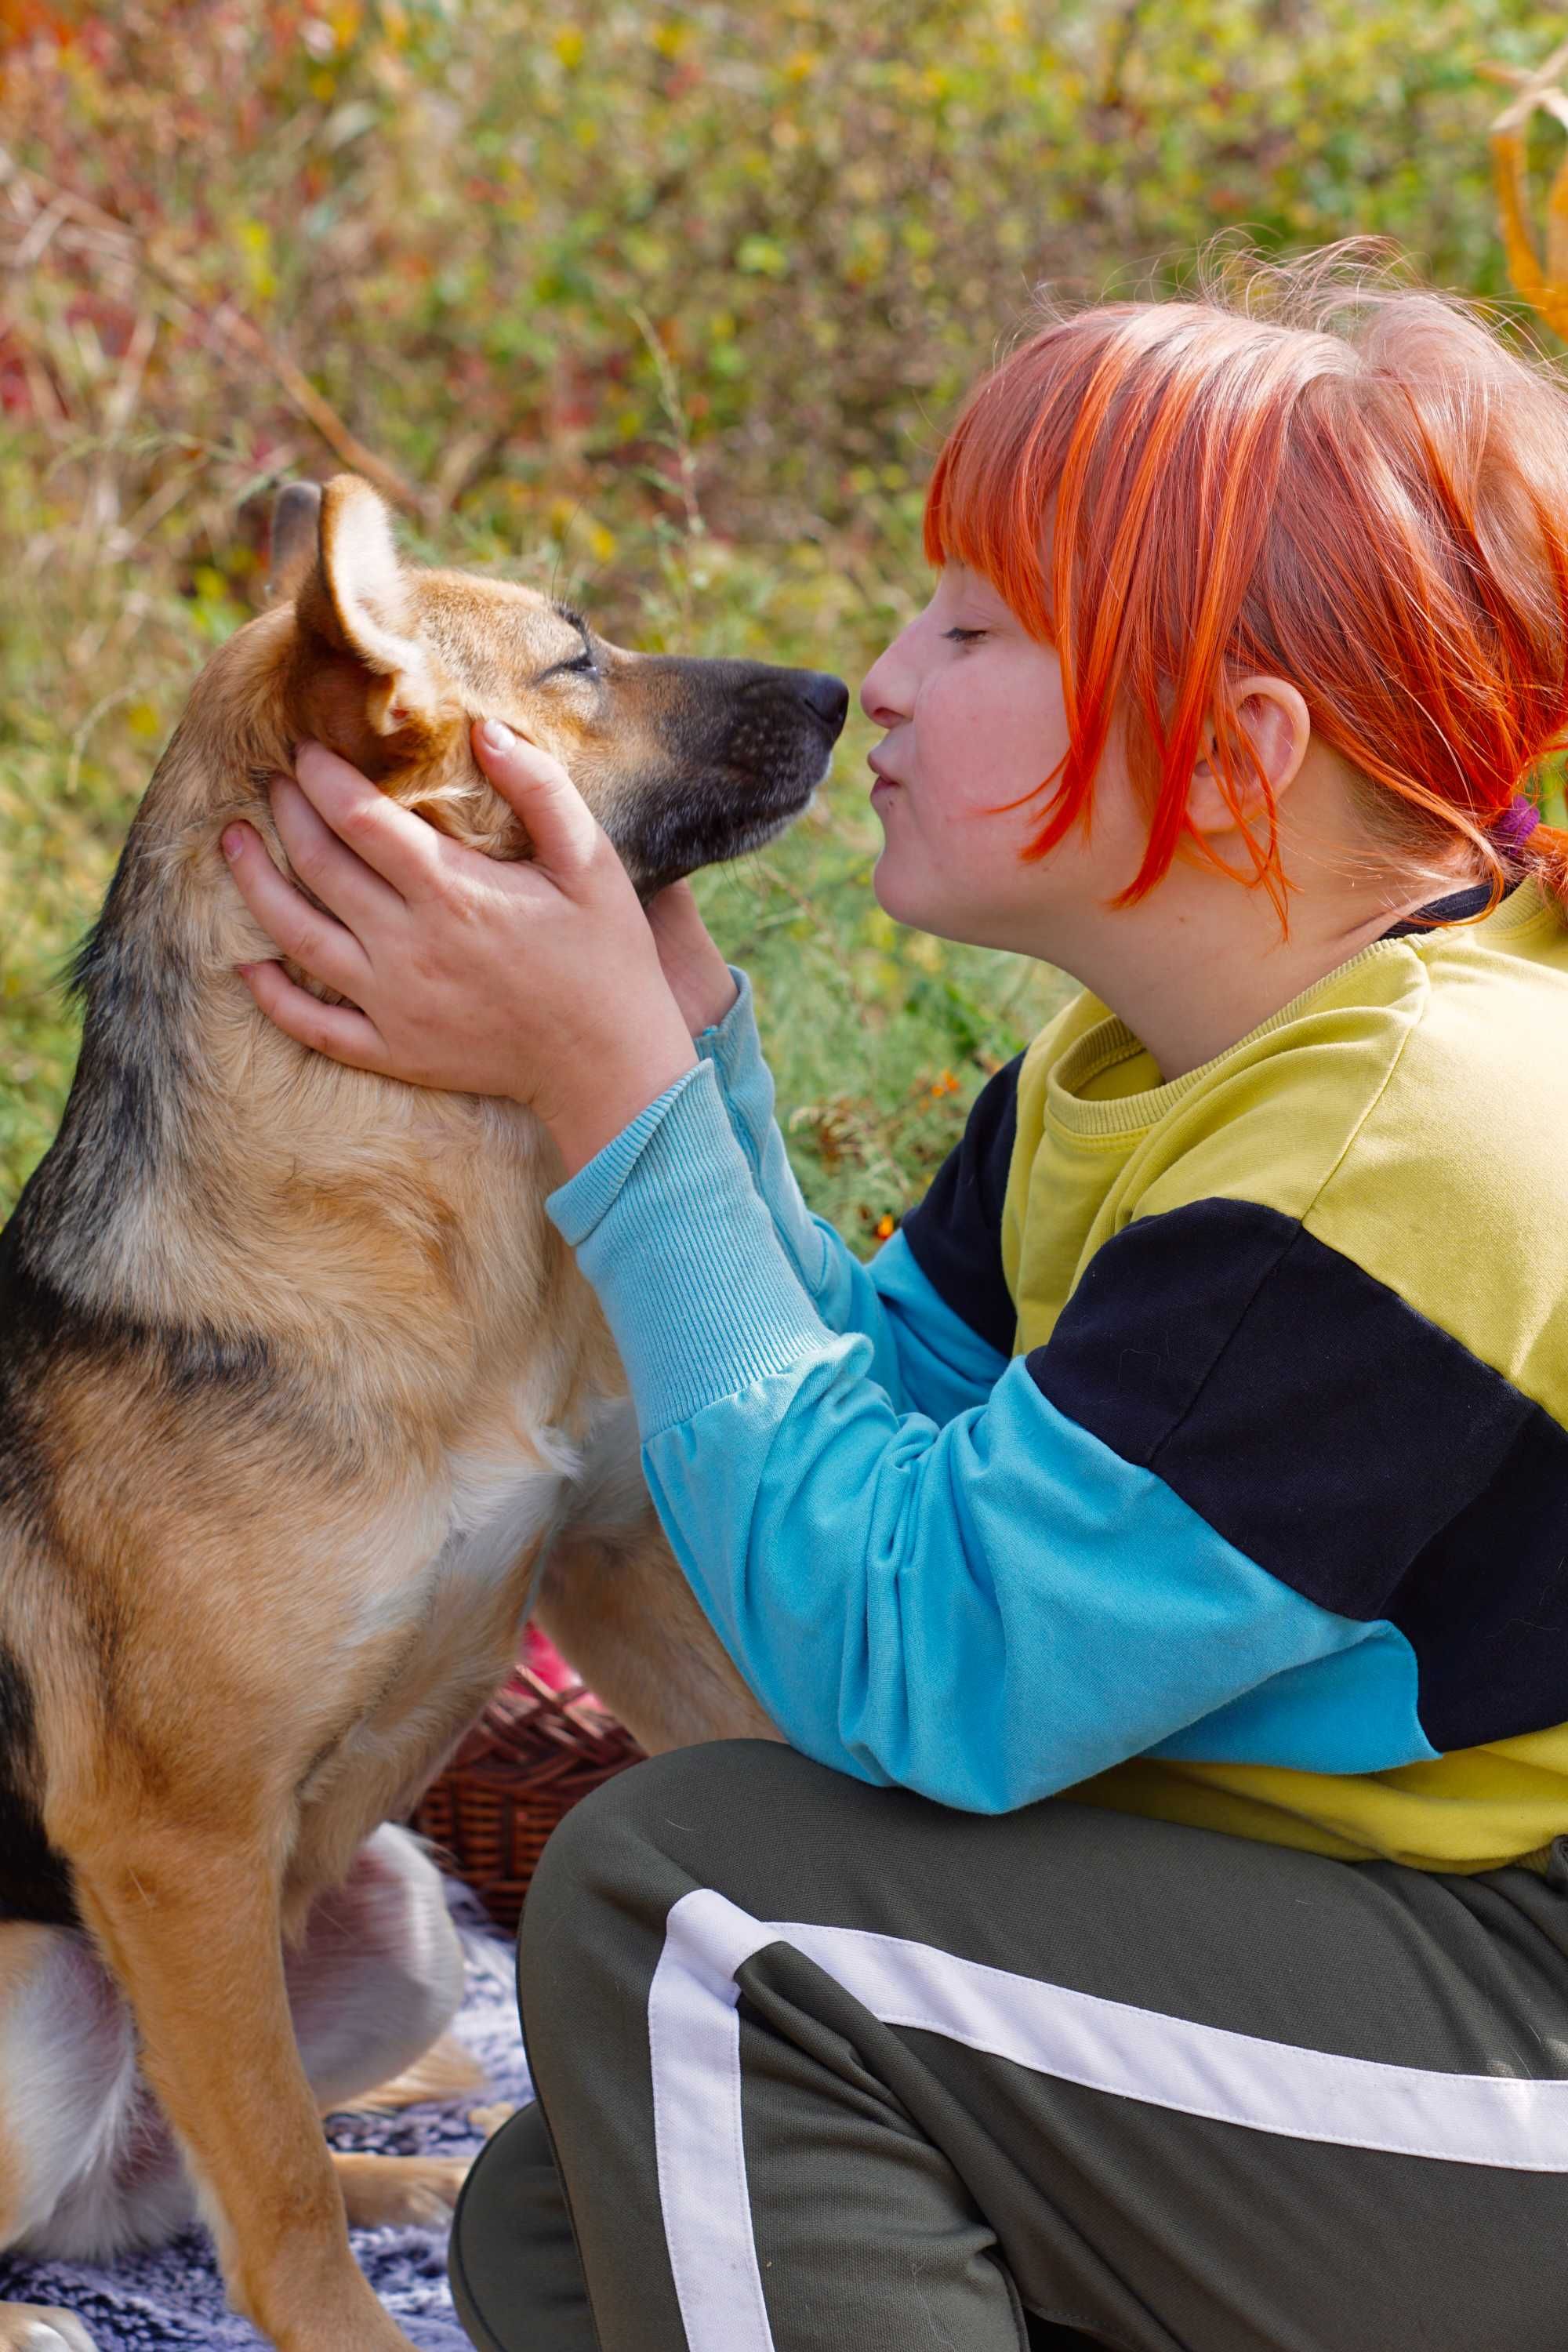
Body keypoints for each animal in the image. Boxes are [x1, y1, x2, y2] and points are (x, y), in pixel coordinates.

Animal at [0, 477, 841, 2352]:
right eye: (578, 658)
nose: (845, 690)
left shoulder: (619, 1569)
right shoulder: (167, 1849)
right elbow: (278, 2212)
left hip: (396, 1914)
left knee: (183, 2187)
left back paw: (426, 2177)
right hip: (40, 2004)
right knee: (159, 2203)